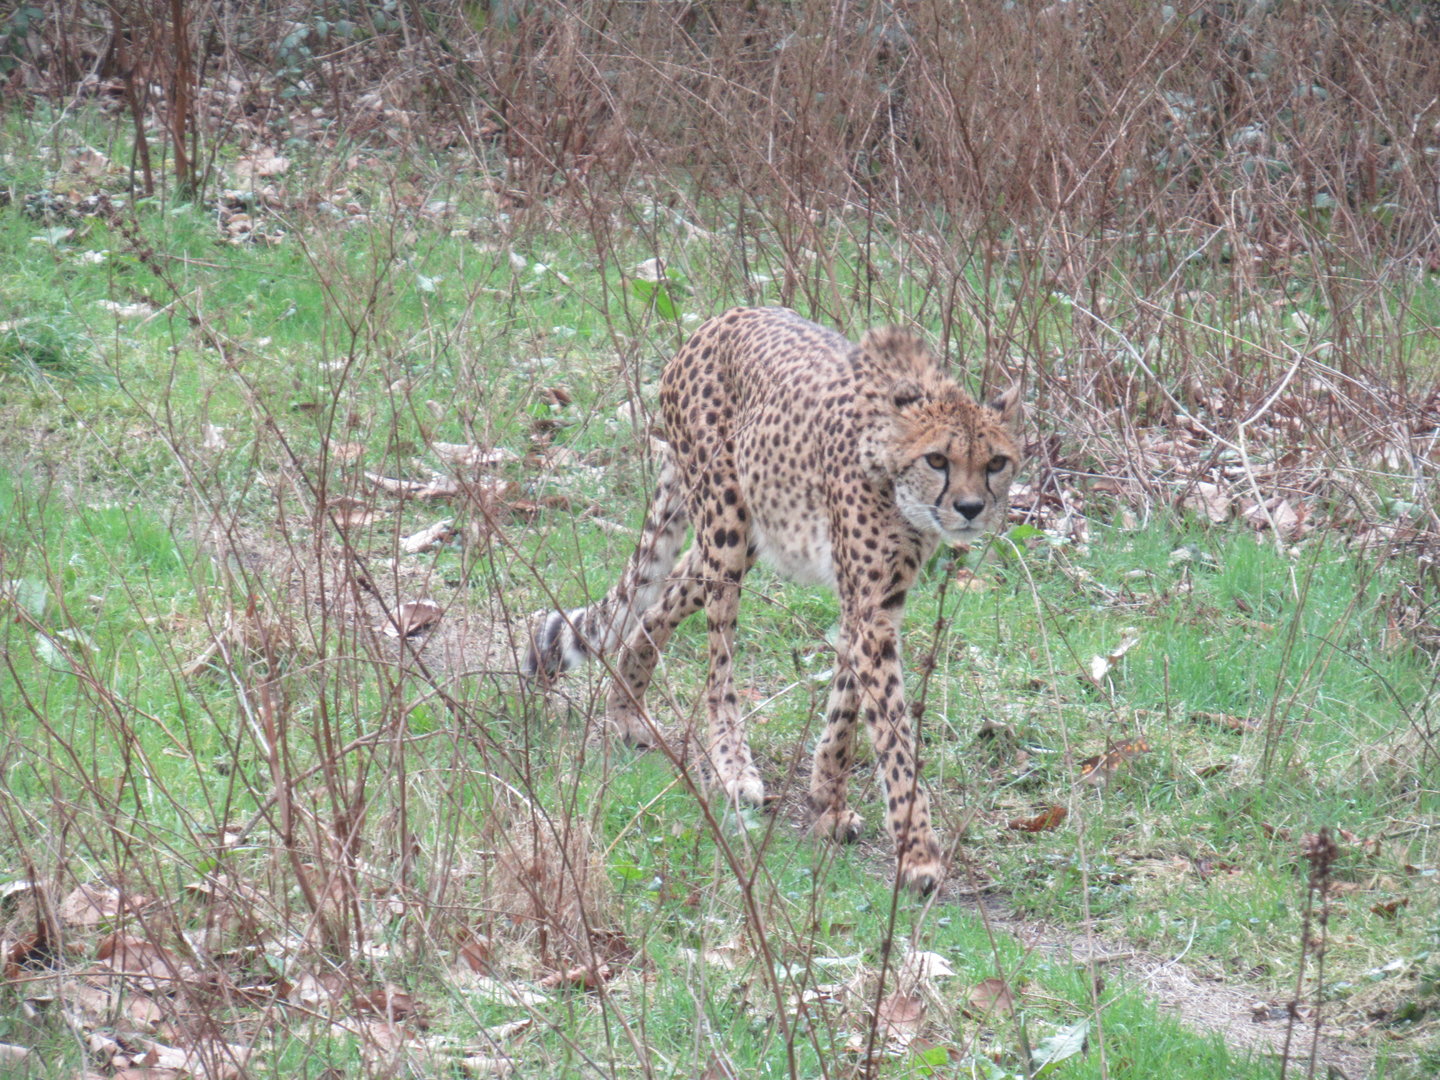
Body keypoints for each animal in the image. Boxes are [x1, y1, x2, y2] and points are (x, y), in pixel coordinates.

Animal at [525, 306, 1022, 893]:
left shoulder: (874, 602)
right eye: (938, 459)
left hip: (736, 538)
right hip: (726, 526)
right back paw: (733, 768)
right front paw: (917, 851)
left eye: (996, 463)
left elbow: (845, 707)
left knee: (664, 596)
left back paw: (625, 706)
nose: (970, 508)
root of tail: (718, 319)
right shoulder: (870, 608)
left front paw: (828, 802)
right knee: (718, 664)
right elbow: (895, 735)